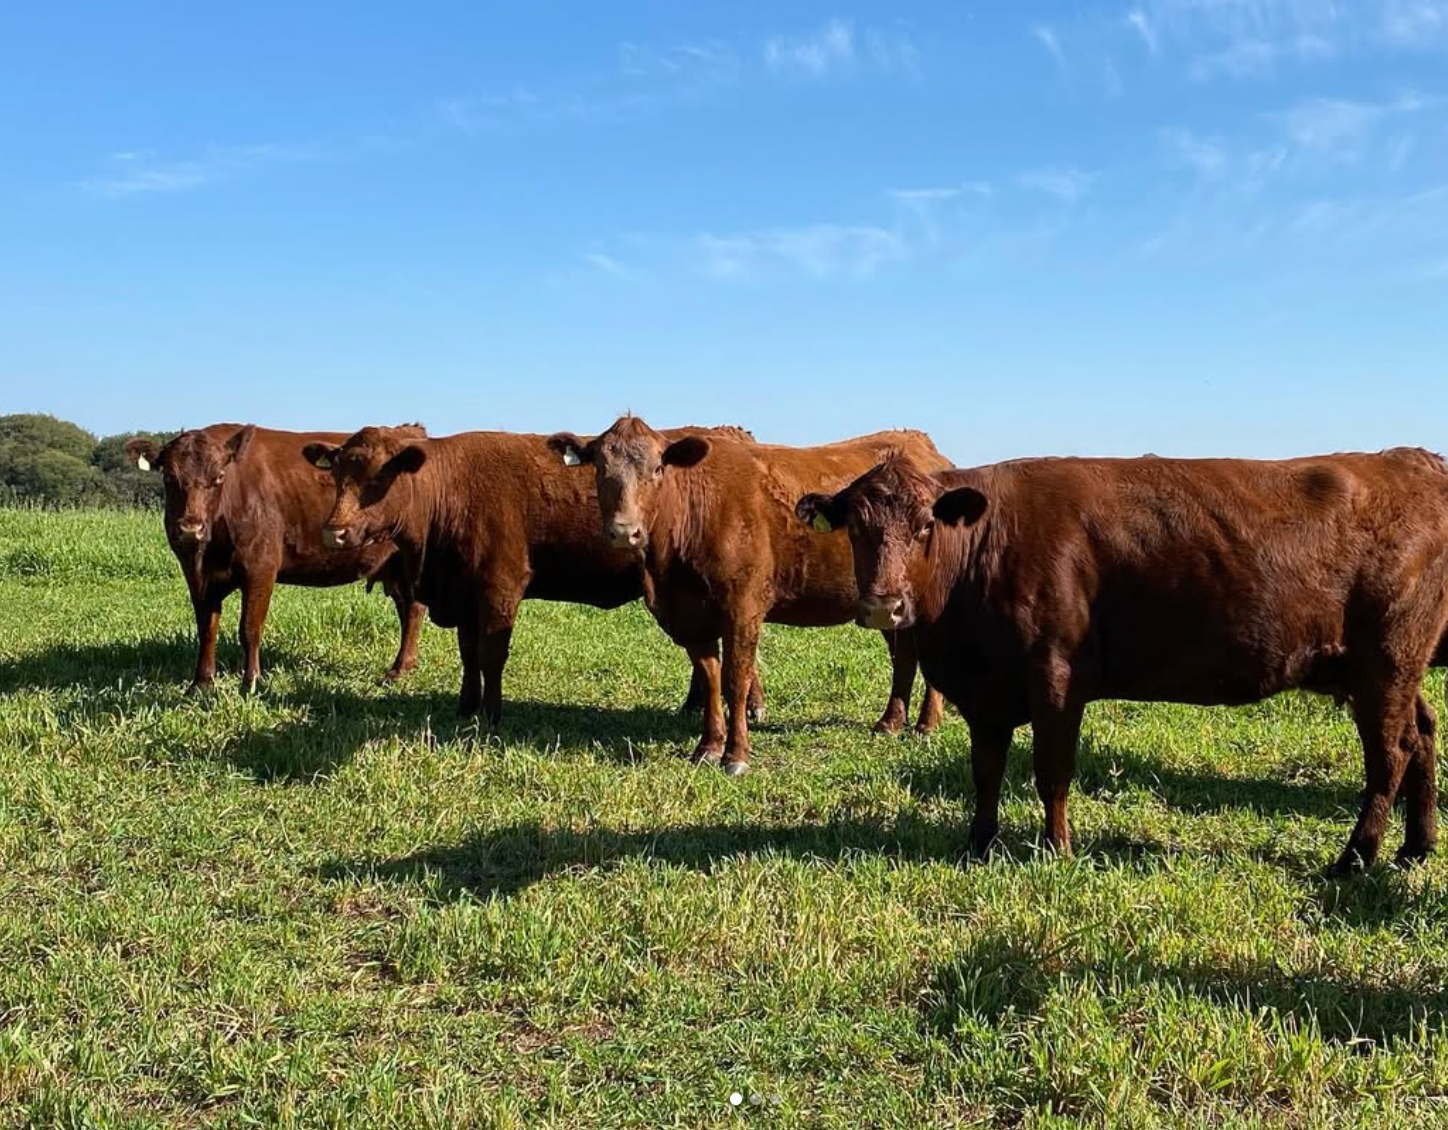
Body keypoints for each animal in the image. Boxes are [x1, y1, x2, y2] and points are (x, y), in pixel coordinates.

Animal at [125, 424, 426, 693]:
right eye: (168, 477)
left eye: (219, 477)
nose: (190, 528)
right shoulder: (196, 574)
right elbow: (206, 628)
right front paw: (201, 683)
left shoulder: (261, 568)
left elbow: (249, 628)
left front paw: (251, 682)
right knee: (407, 608)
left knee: (414, 608)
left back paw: (399, 669)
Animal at [301, 425, 764, 724]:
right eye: (338, 474)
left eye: (381, 474)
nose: (334, 531)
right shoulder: (463, 592)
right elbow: (468, 653)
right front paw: (465, 706)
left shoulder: (500, 586)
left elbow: (492, 655)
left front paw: (491, 716)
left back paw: (749, 705)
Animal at [547, 416, 951, 776]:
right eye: (600, 468)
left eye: (658, 468)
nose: (623, 531)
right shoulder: (689, 615)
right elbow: (709, 678)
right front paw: (707, 748)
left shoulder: (742, 608)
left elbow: (735, 680)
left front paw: (735, 755)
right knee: (904, 655)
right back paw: (890, 722)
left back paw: (926, 724)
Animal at [796, 449, 1448, 875]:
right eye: (854, 527)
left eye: (925, 524)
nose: (883, 604)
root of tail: (1411, 460)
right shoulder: (987, 691)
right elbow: (986, 771)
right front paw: (977, 845)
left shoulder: (1055, 677)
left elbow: (1051, 771)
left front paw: (1055, 850)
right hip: (1390, 670)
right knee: (1421, 733)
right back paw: (1414, 848)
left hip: (1385, 662)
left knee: (1389, 755)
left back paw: (1355, 859)